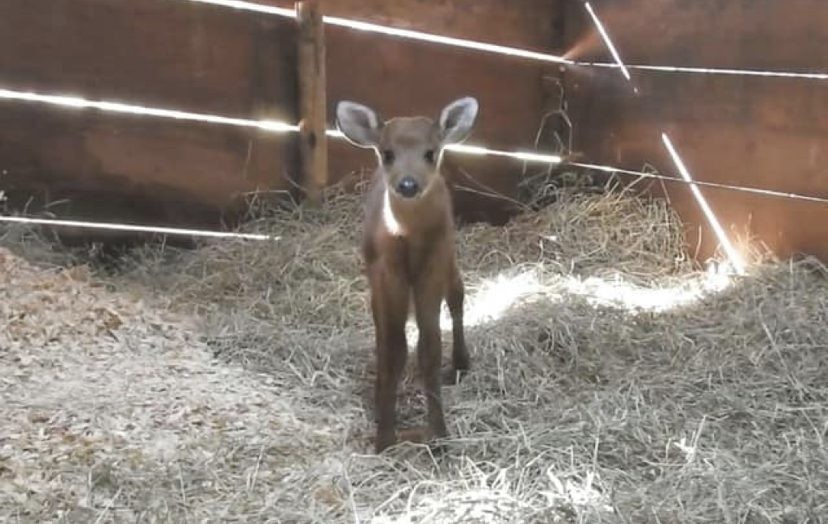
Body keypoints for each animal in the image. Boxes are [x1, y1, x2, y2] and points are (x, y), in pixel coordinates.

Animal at [336, 97, 479, 453]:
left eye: (430, 152)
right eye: (387, 153)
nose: (408, 184)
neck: (406, 237)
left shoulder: (432, 265)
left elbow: (429, 348)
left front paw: (439, 433)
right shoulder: (385, 272)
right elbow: (393, 347)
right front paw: (384, 436)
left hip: (449, 256)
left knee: (457, 295)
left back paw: (461, 362)